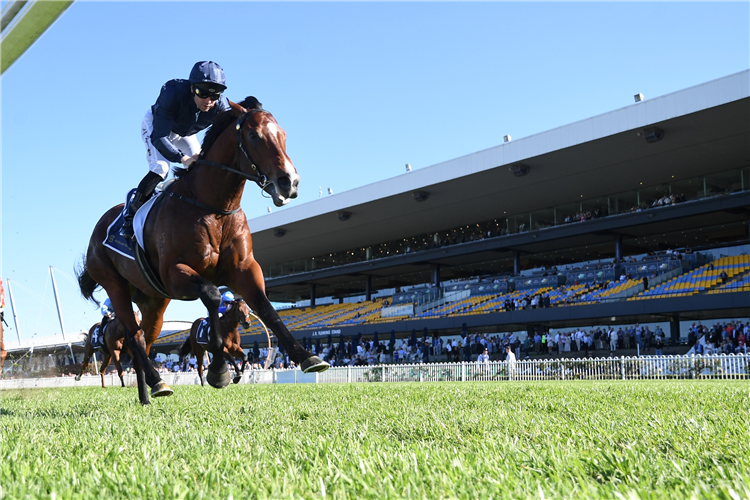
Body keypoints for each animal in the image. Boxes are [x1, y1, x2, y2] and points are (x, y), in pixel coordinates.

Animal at [76, 95, 328, 404]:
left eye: (283, 135)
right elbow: (211, 295)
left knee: (144, 341)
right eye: (254, 136)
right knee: (134, 338)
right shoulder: (175, 274)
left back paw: (147, 394)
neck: (213, 207)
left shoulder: (244, 268)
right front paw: (218, 370)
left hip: (153, 300)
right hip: (116, 286)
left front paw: (306, 357)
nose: (289, 182)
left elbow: (266, 307)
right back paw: (158, 382)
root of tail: (98, 229)